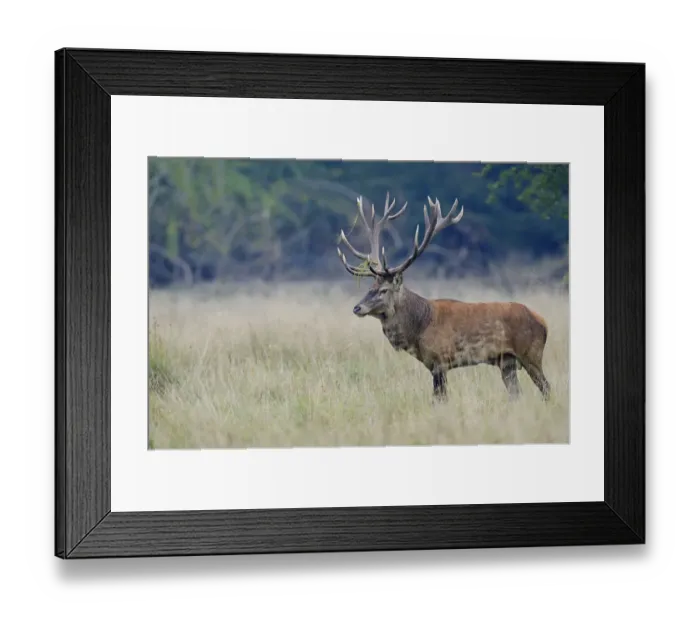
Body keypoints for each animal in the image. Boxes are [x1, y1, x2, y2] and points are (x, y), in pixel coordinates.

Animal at [336, 192, 551, 403]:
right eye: (370, 287)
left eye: (383, 290)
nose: (357, 308)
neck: (419, 327)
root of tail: (543, 322)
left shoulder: (439, 360)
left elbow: (439, 399)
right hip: (507, 361)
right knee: (517, 393)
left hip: (530, 354)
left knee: (546, 388)